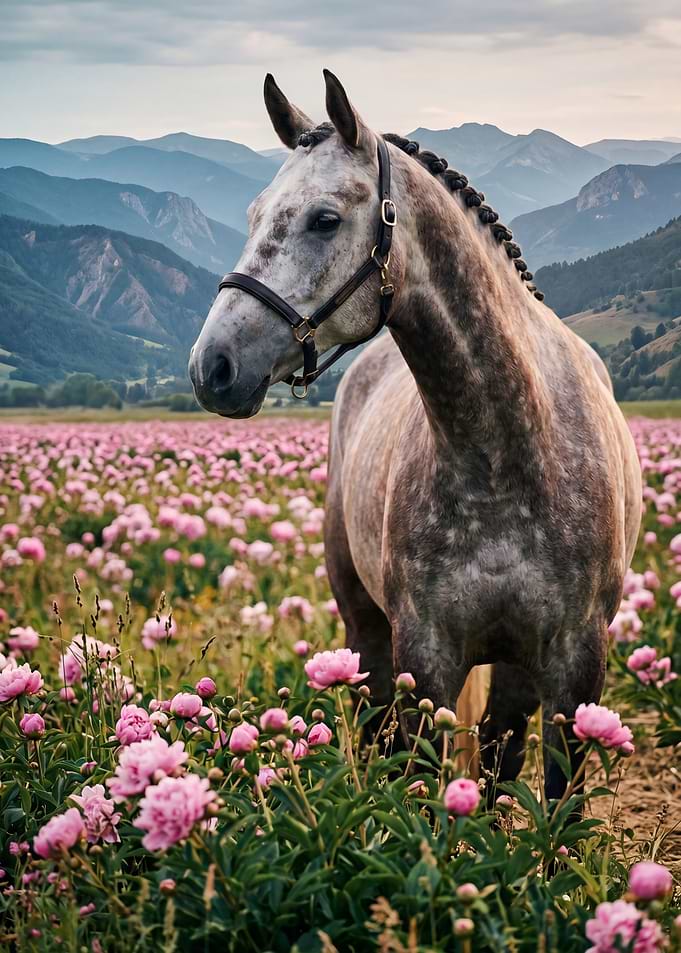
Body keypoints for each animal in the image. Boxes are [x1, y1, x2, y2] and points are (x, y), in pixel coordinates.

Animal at [189, 71, 642, 799]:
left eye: (324, 218)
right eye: (256, 214)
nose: (213, 366)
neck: (504, 456)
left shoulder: (575, 666)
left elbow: (545, 796)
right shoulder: (423, 656)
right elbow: (423, 786)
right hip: (366, 628)